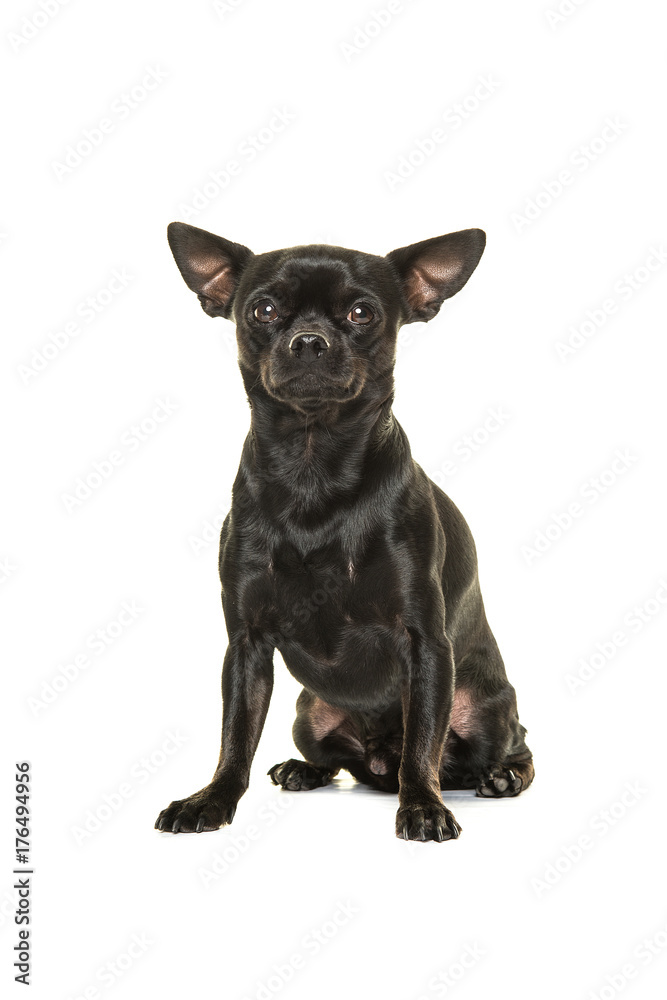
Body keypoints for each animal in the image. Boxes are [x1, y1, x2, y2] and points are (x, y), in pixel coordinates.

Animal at [155, 223, 532, 840]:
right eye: (262, 310)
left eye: (362, 313)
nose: (309, 341)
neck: (312, 467)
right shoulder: (246, 646)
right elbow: (235, 737)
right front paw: (210, 800)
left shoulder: (425, 643)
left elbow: (422, 743)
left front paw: (423, 806)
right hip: (309, 713)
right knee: (339, 762)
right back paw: (301, 769)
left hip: (483, 709)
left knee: (508, 745)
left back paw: (502, 778)